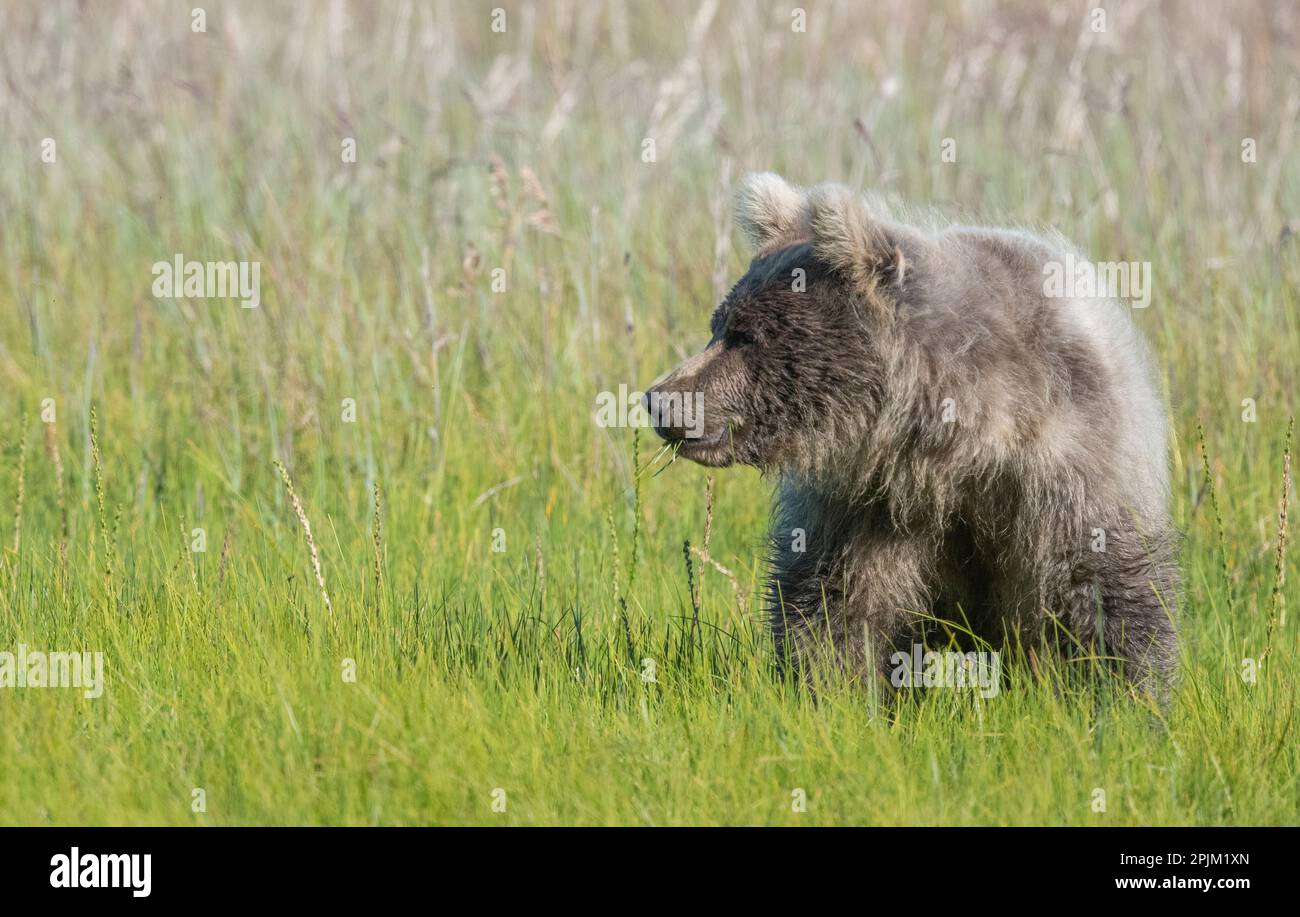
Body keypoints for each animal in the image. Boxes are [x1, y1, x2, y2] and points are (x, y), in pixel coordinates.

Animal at [647, 171, 1180, 691]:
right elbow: (836, 604)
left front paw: (1123, 694)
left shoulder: (1069, 464)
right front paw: (829, 690)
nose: (661, 398)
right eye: (718, 325)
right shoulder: (867, 504)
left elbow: (1103, 591)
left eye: (745, 335)